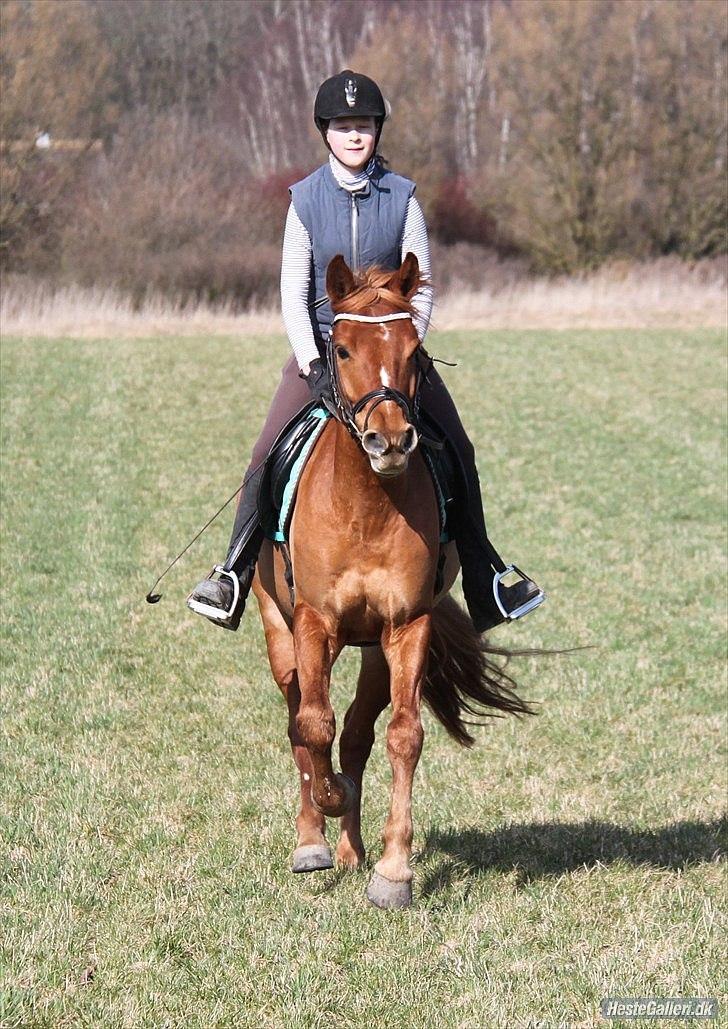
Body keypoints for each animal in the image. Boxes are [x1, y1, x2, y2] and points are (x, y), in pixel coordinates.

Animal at [252, 251, 535, 909]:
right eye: (343, 349)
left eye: (414, 349)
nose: (390, 440)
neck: (366, 505)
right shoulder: (313, 622)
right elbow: (313, 723)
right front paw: (324, 810)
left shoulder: (406, 625)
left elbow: (402, 736)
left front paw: (393, 870)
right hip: (279, 628)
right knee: (299, 718)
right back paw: (314, 838)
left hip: (377, 651)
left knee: (358, 731)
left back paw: (351, 848)